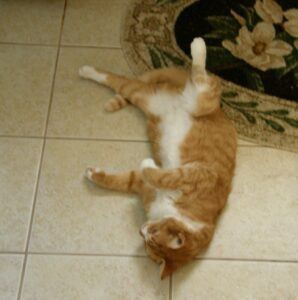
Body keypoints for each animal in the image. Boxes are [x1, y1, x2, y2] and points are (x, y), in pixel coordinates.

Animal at [79, 37, 237, 278]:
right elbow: (163, 175)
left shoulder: (144, 185)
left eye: (149, 240)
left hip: (142, 96)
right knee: (200, 76)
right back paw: (198, 46)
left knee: (118, 81)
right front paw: (150, 163)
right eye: (152, 233)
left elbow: (126, 178)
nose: (140, 229)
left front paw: (94, 174)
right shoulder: (196, 173)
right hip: (201, 102)